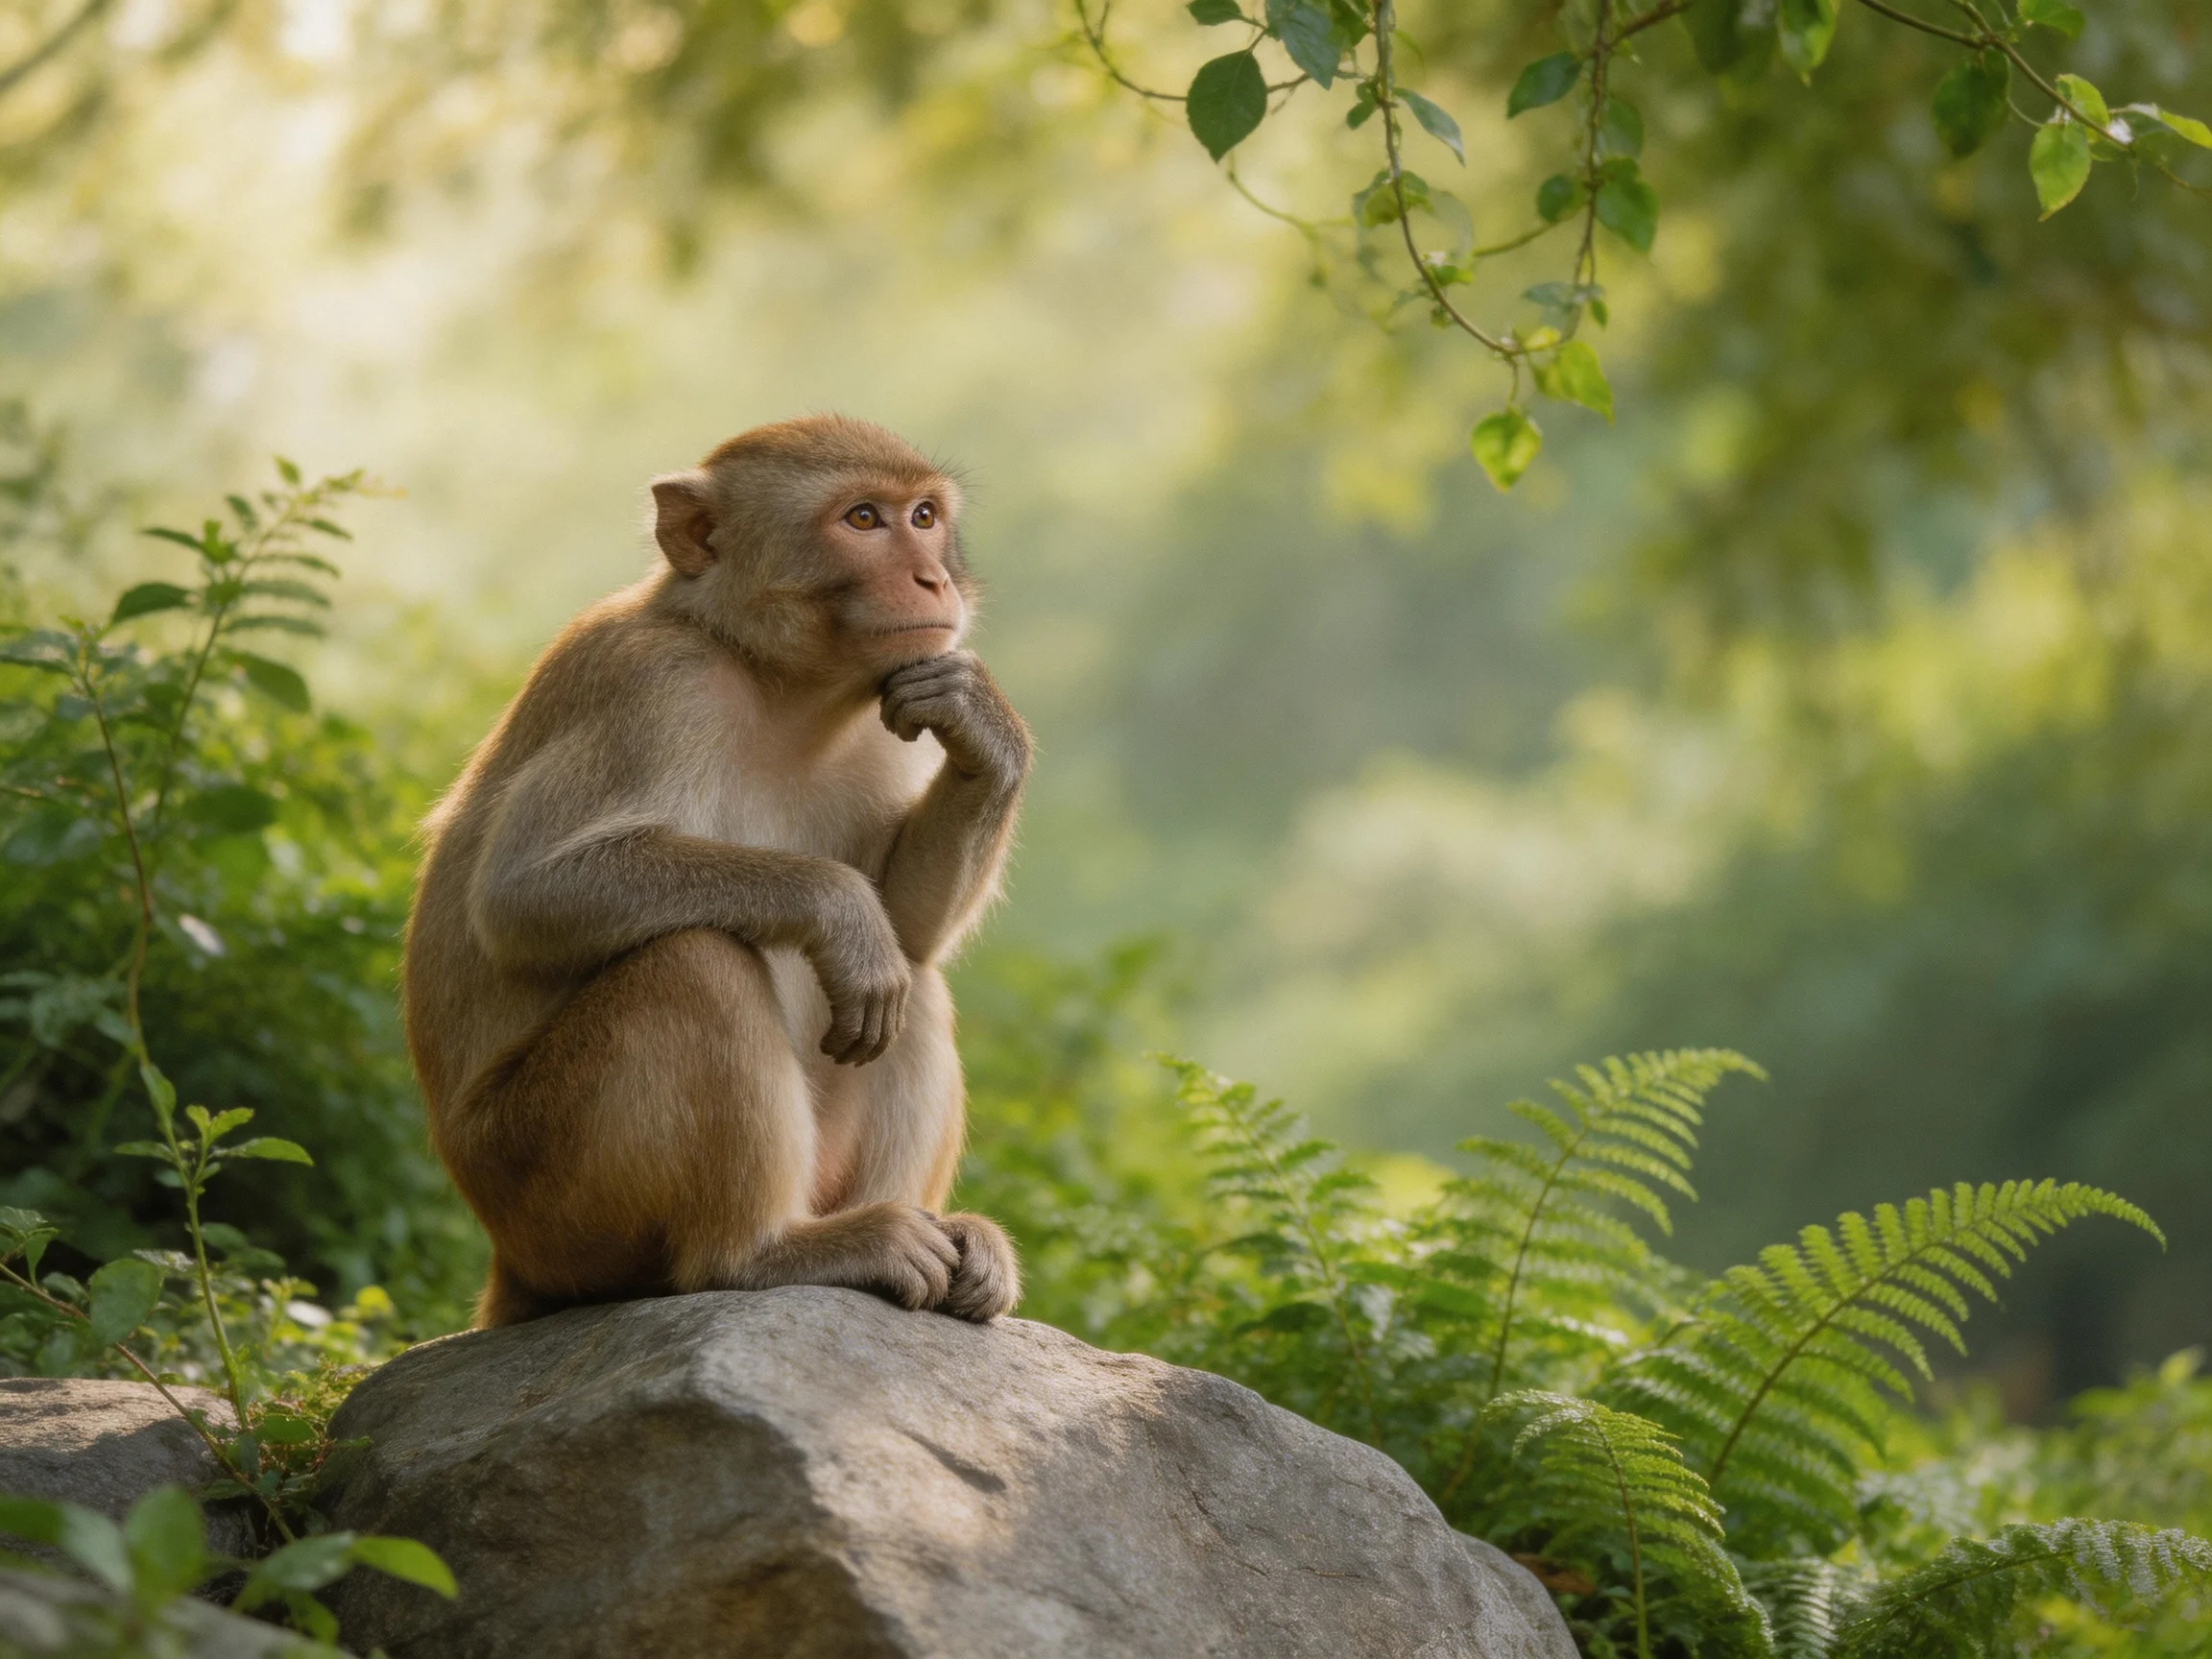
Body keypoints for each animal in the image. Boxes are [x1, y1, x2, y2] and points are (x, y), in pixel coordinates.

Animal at [401, 416, 1029, 1329]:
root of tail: (507, 1259)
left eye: (922, 516)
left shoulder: (890, 712)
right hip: (546, 1192)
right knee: (699, 963)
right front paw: (840, 910)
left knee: (912, 982)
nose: (932, 577)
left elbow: (911, 923)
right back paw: (762, 1253)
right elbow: (524, 894)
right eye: (863, 519)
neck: (778, 683)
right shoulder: (655, 687)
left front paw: (985, 731)